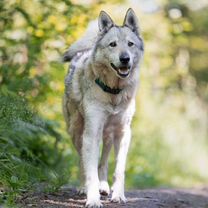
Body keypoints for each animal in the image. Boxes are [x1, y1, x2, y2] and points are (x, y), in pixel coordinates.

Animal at [62, 8, 144, 208]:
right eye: (112, 44)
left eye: (130, 44)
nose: (125, 58)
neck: (113, 92)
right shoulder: (91, 134)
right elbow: (90, 171)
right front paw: (92, 199)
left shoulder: (123, 133)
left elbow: (119, 170)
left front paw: (118, 195)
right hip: (78, 133)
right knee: (83, 162)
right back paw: (84, 188)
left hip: (108, 136)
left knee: (104, 162)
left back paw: (105, 187)